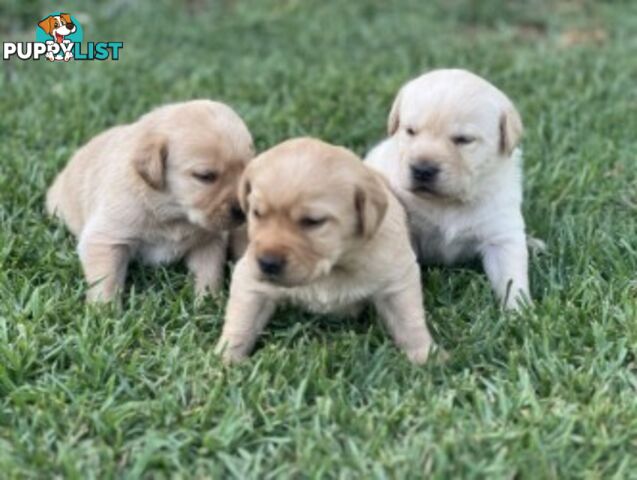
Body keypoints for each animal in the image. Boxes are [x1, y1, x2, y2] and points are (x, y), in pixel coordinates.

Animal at [46, 99, 253, 302]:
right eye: (205, 176)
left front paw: (207, 302)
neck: (172, 213)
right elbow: (106, 282)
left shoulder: (209, 241)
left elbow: (209, 274)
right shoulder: (105, 239)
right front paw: (104, 309)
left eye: (247, 170)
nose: (243, 212)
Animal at [216, 138, 434, 364]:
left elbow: (409, 321)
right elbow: (241, 321)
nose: (267, 263)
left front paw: (425, 355)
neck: (334, 267)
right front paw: (226, 359)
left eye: (312, 221)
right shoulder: (249, 276)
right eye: (257, 213)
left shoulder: (396, 277)